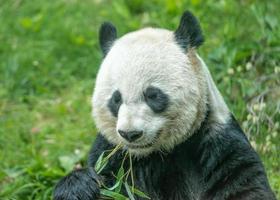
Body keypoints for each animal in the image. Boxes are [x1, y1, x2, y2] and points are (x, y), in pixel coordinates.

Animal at [54, 11, 276, 200]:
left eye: (153, 95)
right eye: (116, 99)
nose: (130, 134)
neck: (157, 153)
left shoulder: (218, 143)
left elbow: (244, 187)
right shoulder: (114, 157)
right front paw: (79, 185)